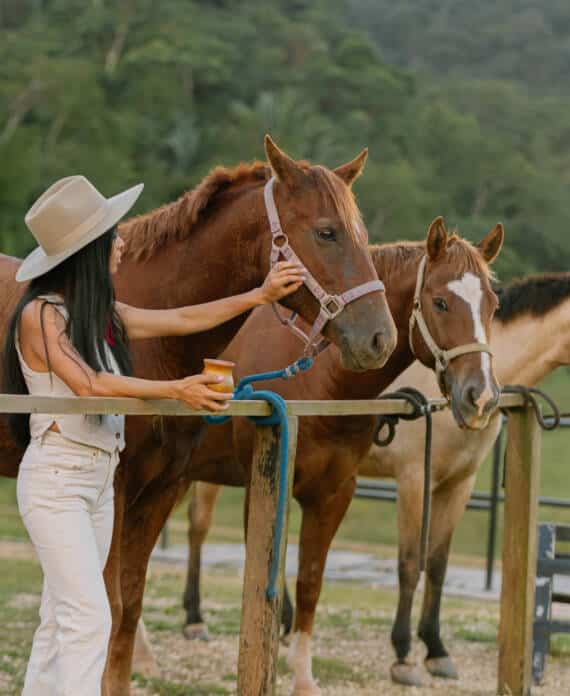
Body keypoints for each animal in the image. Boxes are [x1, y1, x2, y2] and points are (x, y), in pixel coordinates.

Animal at [140, 217, 503, 695]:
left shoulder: (333, 495)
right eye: (440, 302)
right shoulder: (265, 486)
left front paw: (303, 676)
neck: (322, 385)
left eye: (494, 306)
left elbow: (310, 580)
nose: (481, 397)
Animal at [178, 270, 570, 691]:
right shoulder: (414, 480)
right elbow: (409, 564)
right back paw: (198, 618)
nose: (480, 400)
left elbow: (438, 564)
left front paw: (436, 650)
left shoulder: (458, 485)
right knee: (200, 526)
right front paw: (403, 654)